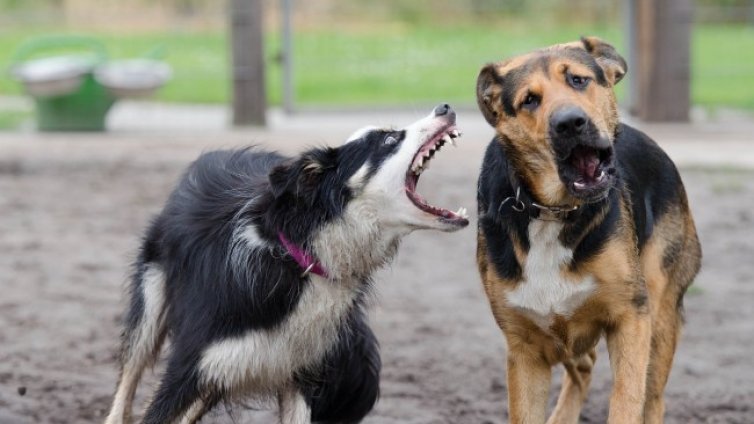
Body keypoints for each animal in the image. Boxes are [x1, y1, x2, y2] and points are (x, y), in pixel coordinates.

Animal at [103, 104, 468, 422]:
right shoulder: (191, 366)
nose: (445, 107)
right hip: (151, 303)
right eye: (390, 139)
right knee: (127, 384)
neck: (302, 256)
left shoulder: (302, 372)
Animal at [476, 38, 700, 422]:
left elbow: (628, 400)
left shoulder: (631, 317)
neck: (552, 211)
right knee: (583, 368)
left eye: (578, 80)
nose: (570, 123)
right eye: (529, 100)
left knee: (653, 399)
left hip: (661, 311)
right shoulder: (524, 348)